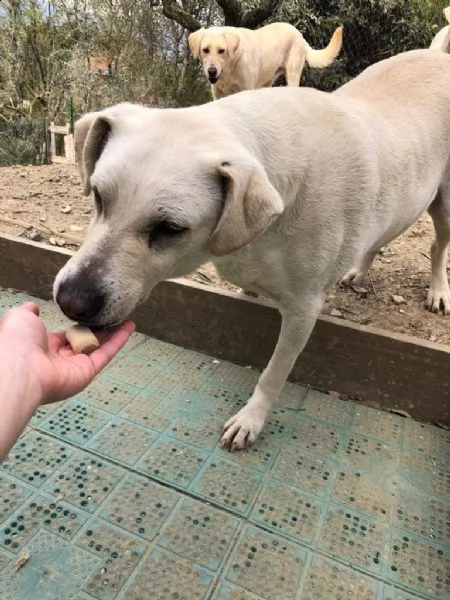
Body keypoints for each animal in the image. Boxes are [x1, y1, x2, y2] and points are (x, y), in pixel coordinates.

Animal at [54, 50, 450, 450]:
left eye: (170, 229)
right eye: (98, 196)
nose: (71, 301)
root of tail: (437, 53)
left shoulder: (303, 311)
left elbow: (273, 374)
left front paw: (250, 420)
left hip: (444, 206)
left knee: (437, 247)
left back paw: (438, 292)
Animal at [188, 22, 342, 99]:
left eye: (221, 50)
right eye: (205, 50)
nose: (212, 71)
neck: (230, 67)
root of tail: (300, 35)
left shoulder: (246, 89)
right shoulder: (218, 95)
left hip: (292, 75)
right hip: (266, 82)